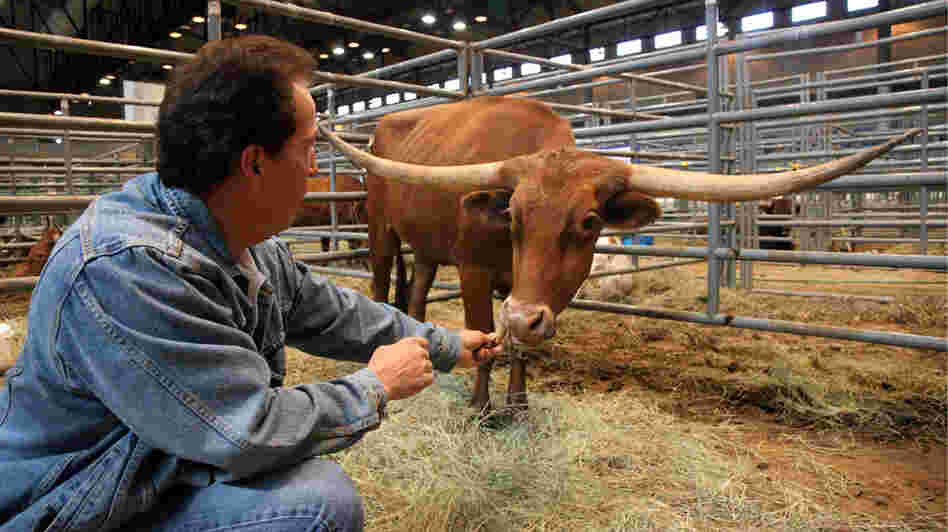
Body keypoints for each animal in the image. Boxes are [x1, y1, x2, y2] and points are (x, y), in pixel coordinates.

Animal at [316, 96, 919, 413]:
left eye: (588, 223)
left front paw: (518, 405)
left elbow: (520, 344)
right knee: (380, 284)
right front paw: (482, 407)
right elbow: (486, 336)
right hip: (380, 230)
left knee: (415, 291)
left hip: (425, 245)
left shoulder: (527, 296)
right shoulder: (475, 271)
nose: (525, 315)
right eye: (513, 216)